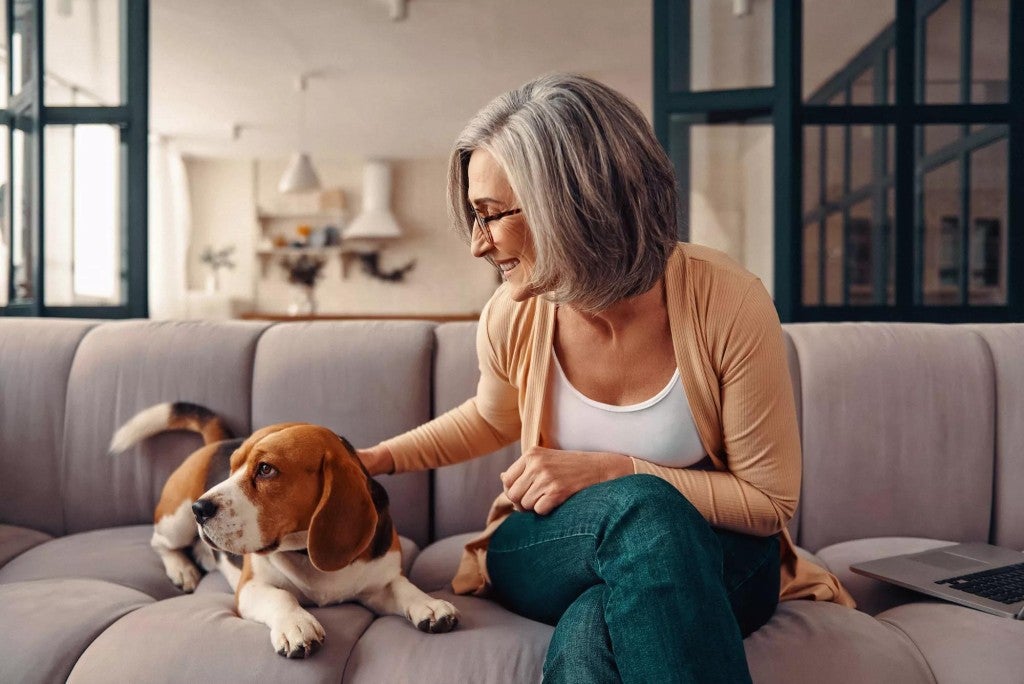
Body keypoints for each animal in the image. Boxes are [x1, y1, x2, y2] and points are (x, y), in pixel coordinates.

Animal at [112, 401, 460, 655]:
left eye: (266, 469)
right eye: (232, 467)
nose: (201, 508)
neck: (305, 551)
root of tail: (216, 442)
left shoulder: (378, 582)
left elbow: (402, 587)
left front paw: (429, 604)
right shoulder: (250, 588)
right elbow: (281, 596)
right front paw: (297, 625)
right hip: (177, 521)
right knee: (160, 543)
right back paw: (182, 568)